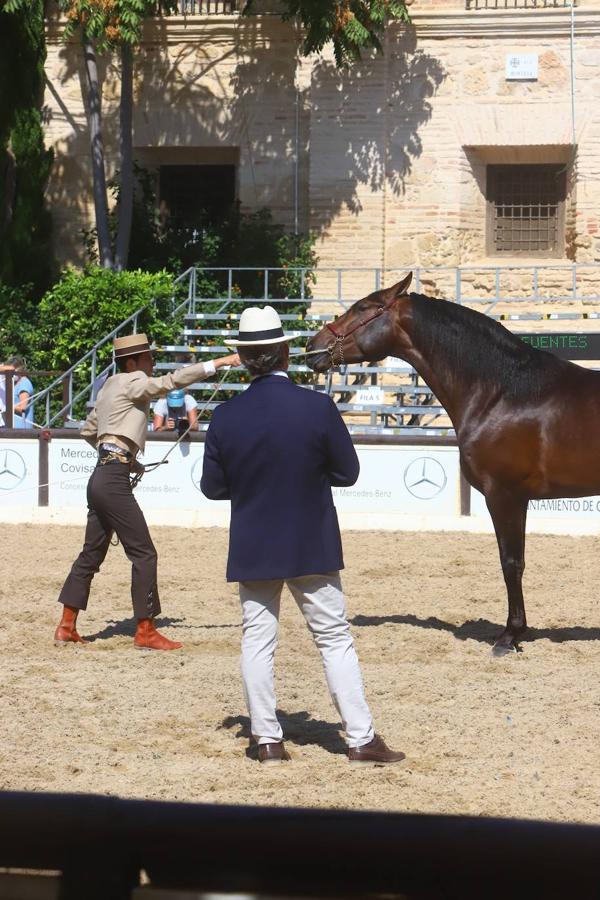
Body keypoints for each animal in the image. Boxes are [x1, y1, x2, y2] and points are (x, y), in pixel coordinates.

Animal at [308, 270, 600, 656]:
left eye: (363, 308)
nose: (314, 345)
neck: (502, 393)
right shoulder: (514, 498)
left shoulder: (504, 496)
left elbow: (511, 563)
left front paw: (510, 635)